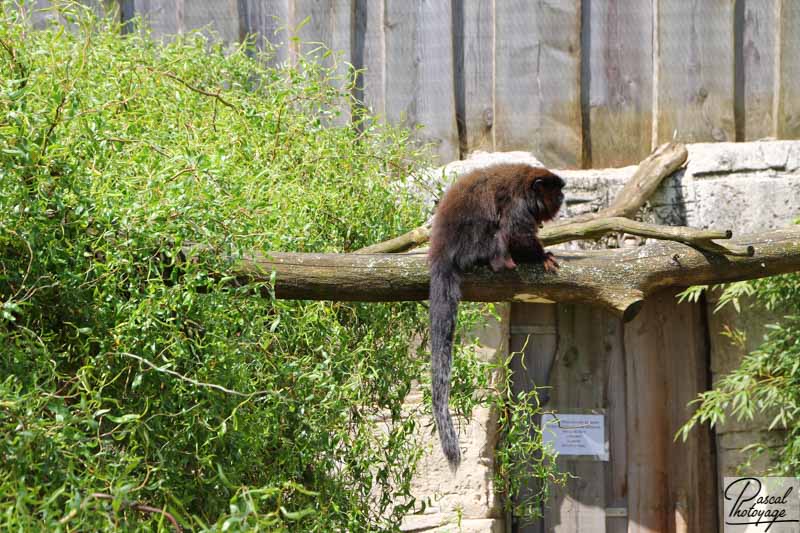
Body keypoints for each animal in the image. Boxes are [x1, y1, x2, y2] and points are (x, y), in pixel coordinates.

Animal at [428, 164, 564, 468]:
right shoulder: (518, 205)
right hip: (473, 242)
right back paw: (501, 261)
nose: (563, 197)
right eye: (556, 191)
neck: (527, 187)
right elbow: (515, 231)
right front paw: (540, 256)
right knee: (497, 231)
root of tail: (441, 247)